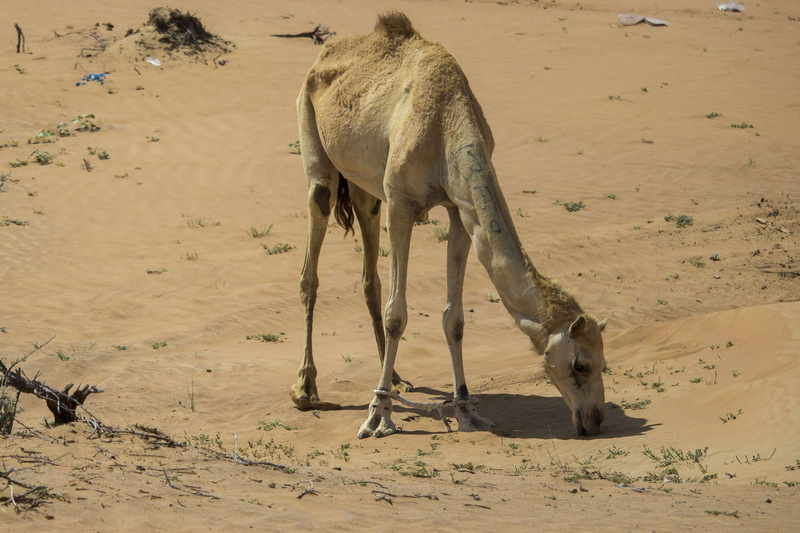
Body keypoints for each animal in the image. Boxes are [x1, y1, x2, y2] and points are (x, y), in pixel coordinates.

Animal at [292, 12, 608, 438]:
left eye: (603, 362)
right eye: (580, 364)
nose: (595, 418)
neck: (446, 123)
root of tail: (321, 57)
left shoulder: (460, 209)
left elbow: (453, 319)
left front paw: (466, 411)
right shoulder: (401, 203)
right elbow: (397, 315)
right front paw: (378, 416)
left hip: (365, 189)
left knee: (370, 276)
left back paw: (394, 378)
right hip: (315, 146)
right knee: (312, 260)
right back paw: (307, 388)